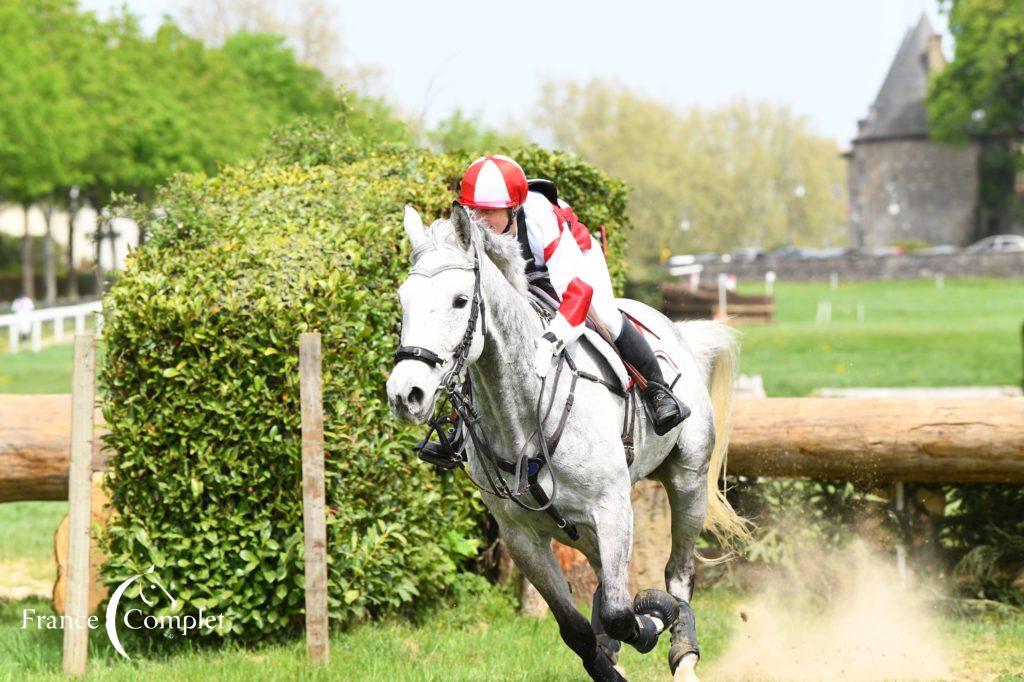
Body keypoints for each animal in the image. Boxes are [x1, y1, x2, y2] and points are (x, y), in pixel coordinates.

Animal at [385, 202, 745, 679]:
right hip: (579, 529)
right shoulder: (522, 537)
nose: (405, 394)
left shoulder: (612, 509)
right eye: (403, 300)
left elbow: (620, 612)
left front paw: (651, 619)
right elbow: (578, 627)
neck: (520, 414)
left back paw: (683, 652)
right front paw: (610, 662)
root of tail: (680, 333)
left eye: (460, 300)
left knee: (679, 572)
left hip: (687, 480)